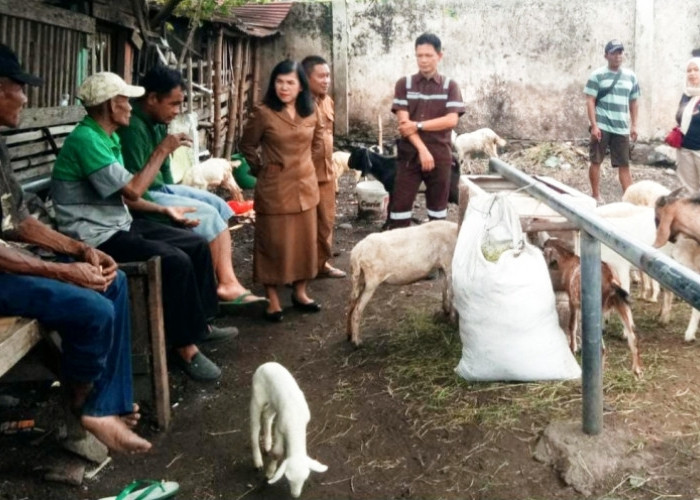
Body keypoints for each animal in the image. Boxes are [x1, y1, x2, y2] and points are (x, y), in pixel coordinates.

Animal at [252, 360, 328, 496]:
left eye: (305, 479)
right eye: (288, 479)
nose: (295, 495)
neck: (295, 425)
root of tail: (265, 364)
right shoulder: (280, 427)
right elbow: (277, 453)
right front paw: (270, 472)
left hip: (273, 402)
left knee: (266, 415)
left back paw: (267, 444)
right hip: (257, 396)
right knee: (254, 427)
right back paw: (257, 461)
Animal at [544, 240, 644, 376]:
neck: (568, 263)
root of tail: (611, 280)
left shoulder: (572, 300)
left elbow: (572, 325)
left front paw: (573, 348)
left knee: (602, 348)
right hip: (622, 304)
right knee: (633, 337)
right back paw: (637, 370)